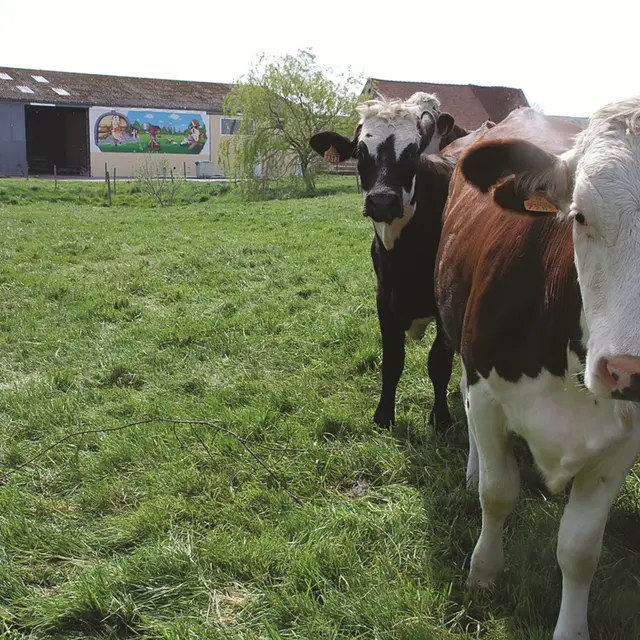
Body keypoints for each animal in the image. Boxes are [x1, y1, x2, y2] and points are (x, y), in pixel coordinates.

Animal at [310, 92, 487, 429]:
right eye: (360, 151)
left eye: (413, 152)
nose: (382, 200)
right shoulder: (384, 298)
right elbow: (392, 361)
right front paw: (383, 415)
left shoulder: (445, 303)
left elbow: (438, 363)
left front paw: (440, 417)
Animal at [435, 99, 640, 639]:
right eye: (580, 216)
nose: (630, 369)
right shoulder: (486, 392)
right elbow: (497, 493)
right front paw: (484, 572)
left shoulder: (624, 442)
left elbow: (579, 549)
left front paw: (571, 628)